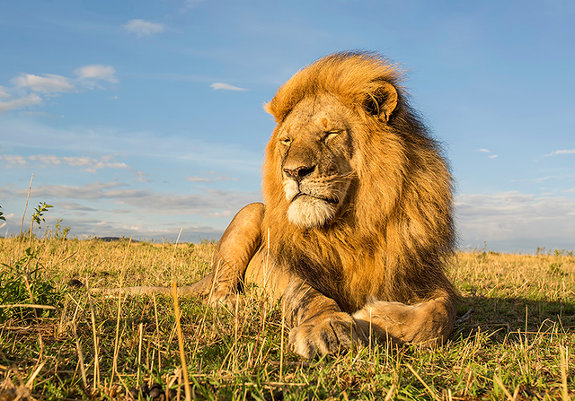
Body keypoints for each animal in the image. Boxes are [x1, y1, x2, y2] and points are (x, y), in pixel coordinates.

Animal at [108, 50, 460, 356]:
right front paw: (328, 328)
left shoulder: (421, 273)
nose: (293, 171)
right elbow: (309, 297)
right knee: (217, 293)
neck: (350, 226)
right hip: (251, 213)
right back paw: (240, 301)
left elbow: (441, 315)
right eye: (287, 140)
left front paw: (373, 316)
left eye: (330, 134)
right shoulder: (289, 267)